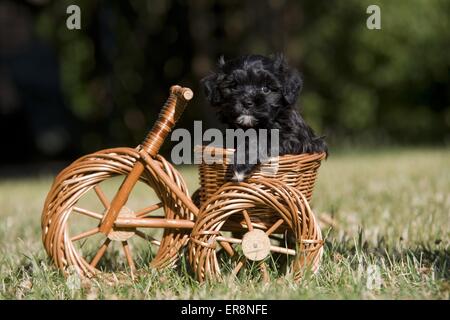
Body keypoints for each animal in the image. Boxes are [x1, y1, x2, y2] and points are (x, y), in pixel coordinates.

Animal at [200, 53, 326, 181]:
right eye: (234, 87)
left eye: (265, 89)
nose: (247, 102)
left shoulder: (294, 139)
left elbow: (259, 139)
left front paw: (240, 164)